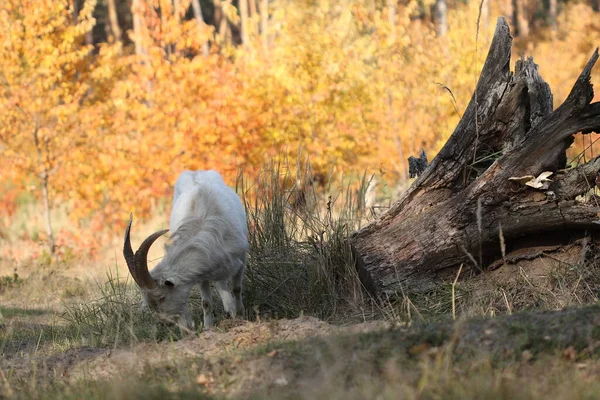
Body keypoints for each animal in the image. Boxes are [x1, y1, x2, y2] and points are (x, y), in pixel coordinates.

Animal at [123, 170, 248, 330]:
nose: (166, 322)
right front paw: (208, 327)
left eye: (162, 297)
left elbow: (237, 288)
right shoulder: (201, 273)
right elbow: (206, 302)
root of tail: (195, 172)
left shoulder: (241, 257)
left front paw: (241, 315)